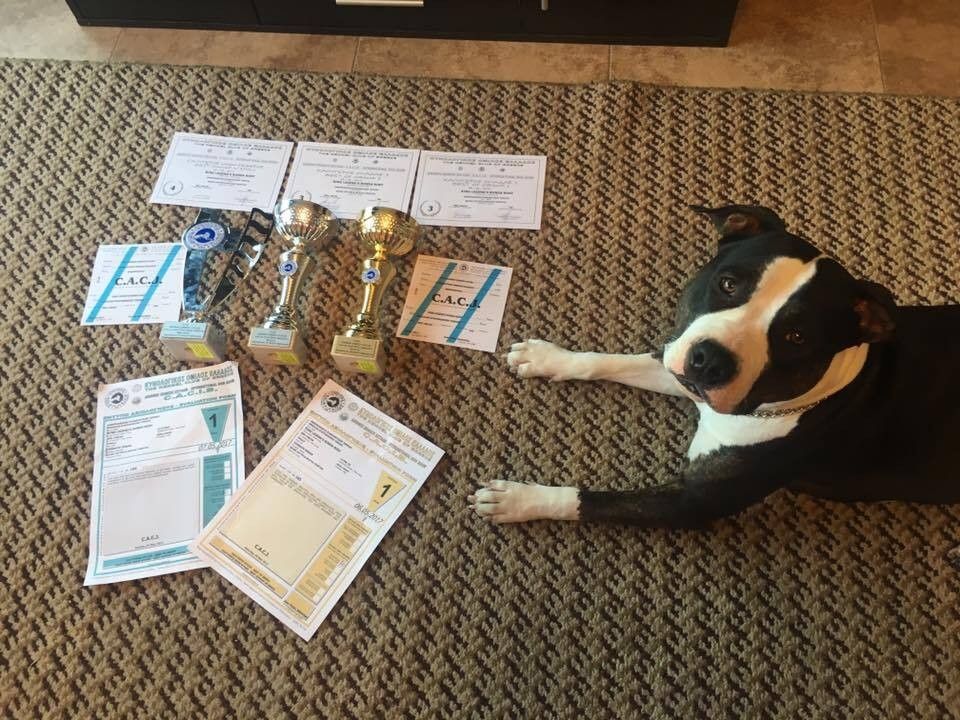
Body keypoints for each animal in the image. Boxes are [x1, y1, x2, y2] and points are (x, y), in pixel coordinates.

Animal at [468, 204, 960, 527]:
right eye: (728, 284)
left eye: (797, 337)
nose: (710, 362)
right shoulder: (679, 367)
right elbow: (615, 361)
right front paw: (547, 356)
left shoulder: (694, 501)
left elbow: (590, 501)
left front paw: (519, 499)